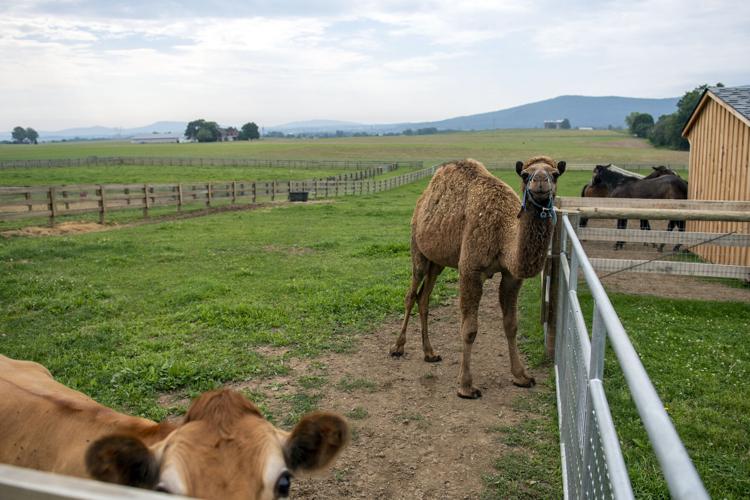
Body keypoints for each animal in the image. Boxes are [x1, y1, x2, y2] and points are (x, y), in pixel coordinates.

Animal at [390, 156, 568, 398]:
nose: (540, 181)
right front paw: (466, 386)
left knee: (423, 298)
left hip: (437, 261)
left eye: (555, 173)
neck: (503, 233)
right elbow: (469, 328)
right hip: (418, 249)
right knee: (411, 295)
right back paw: (397, 347)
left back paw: (430, 353)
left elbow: (511, 324)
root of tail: (423, 199)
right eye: (525, 174)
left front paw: (521, 376)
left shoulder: (511, 275)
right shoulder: (470, 270)